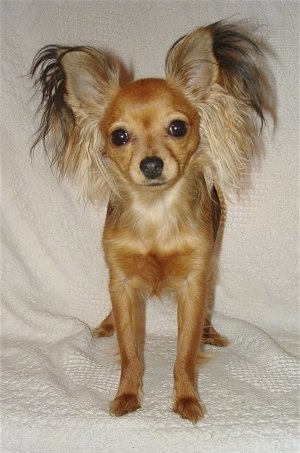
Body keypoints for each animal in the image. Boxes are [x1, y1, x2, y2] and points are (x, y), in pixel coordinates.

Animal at [31, 20, 268, 424]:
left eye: (177, 128)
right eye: (120, 136)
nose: (152, 164)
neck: (156, 210)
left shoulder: (193, 283)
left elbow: (185, 354)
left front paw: (186, 399)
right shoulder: (122, 282)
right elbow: (131, 352)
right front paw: (127, 395)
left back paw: (211, 332)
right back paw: (105, 324)